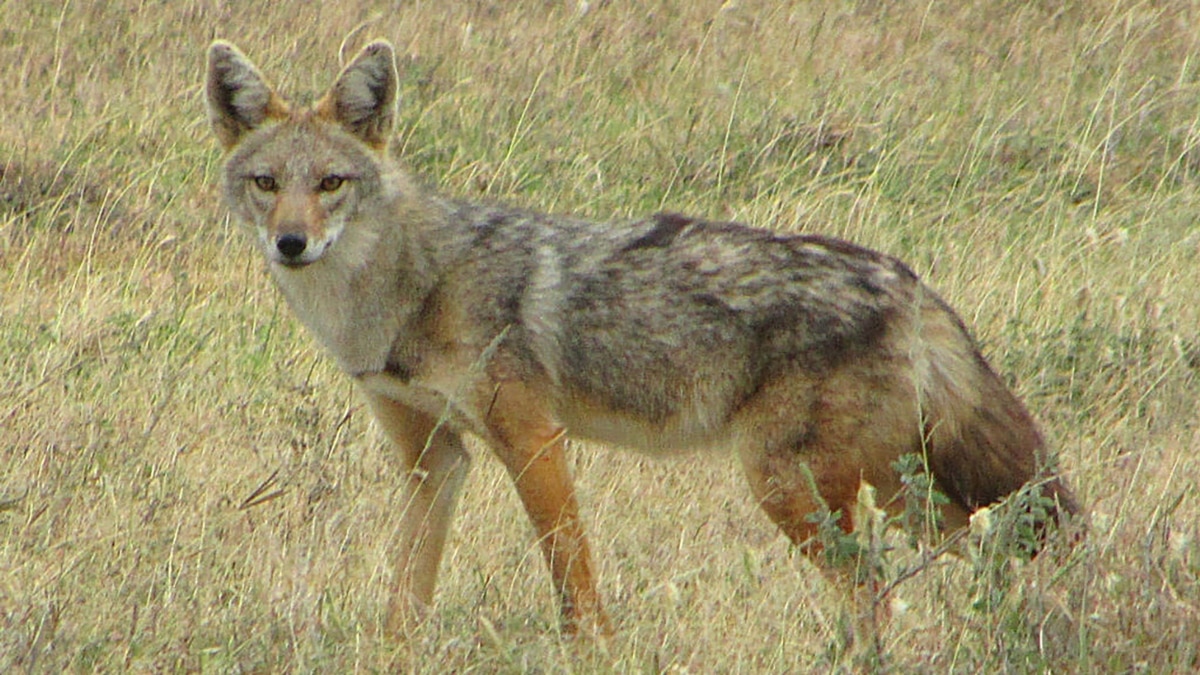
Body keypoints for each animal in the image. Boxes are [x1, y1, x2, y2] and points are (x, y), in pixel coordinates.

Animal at [206, 39, 1079, 634]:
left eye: (331, 183)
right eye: (267, 184)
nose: (292, 244)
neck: (405, 291)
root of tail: (908, 279)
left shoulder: (534, 441)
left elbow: (576, 590)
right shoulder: (434, 461)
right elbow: (404, 603)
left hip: (793, 487)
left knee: (879, 594)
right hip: (900, 494)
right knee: (986, 557)